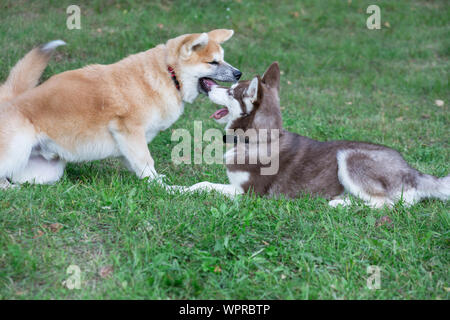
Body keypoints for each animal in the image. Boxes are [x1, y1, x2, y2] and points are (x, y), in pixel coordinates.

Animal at [0, 29, 241, 190]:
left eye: (222, 59)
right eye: (213, 62)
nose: (239, 73)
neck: (168, 73)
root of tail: (9, 102)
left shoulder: (128, 143)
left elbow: (140, 164)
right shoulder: (129, 131)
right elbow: (146, 162)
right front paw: (162, 189)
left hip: (45, 171)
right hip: (16, 150)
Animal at [180, 62, 450, 208]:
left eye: (231, 92)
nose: (208, 85)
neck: (260, 139)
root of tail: (412, 170)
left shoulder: (248, 194)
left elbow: (204, 186)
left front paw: (178, 190)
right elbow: (199, 183)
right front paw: (176, 188)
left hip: (350, 156)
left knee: (385, 204)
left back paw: (339, 205)